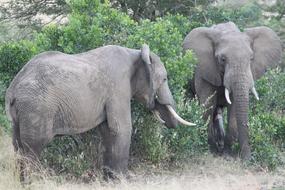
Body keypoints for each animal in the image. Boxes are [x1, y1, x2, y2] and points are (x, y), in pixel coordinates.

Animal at [5, 43, 195, 180]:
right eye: (165, 79)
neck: (135, 53)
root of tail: (13, 89)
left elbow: (107, 130)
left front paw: (109, 177)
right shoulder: (118, 88)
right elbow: (122, 128)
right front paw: (123, 179)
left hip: (21, 113)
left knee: (18, 145)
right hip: (37, 108)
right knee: (33, 147)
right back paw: (34, 182)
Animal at [183, 21, 280, 160]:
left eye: (251, 58)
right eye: (222, 59)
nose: (248, 159)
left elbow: (233, 108)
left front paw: (229, 153)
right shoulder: (204, 70)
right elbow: (207, 105)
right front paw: (210, 151)